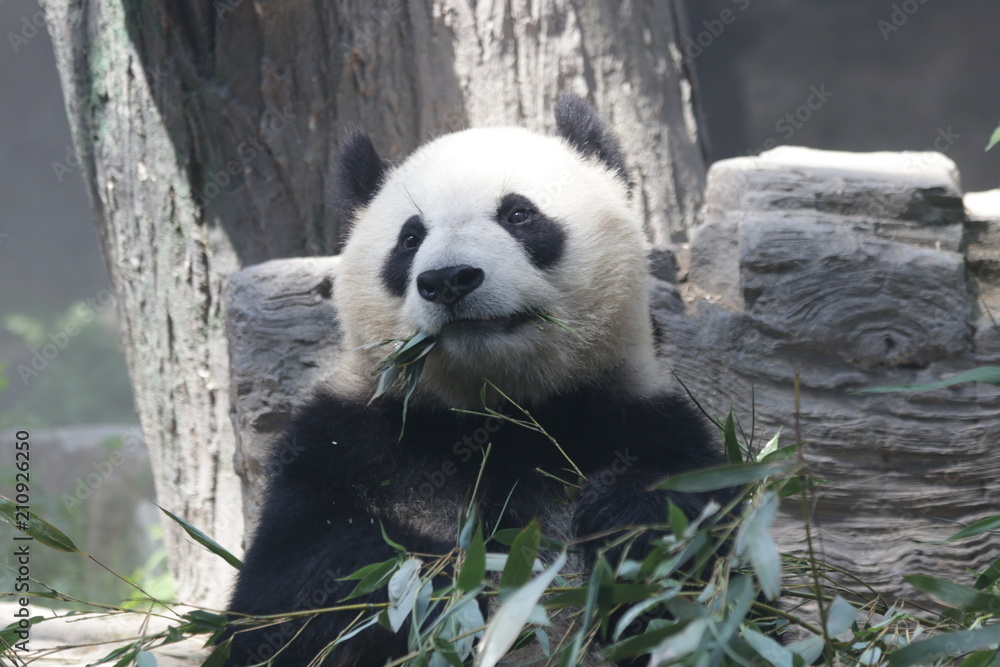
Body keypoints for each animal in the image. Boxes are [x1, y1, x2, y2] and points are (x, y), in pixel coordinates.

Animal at [223, 96, 731, 666]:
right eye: (410, 238)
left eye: (518, 214)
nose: (449, 280)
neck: (494, 408)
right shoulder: (348, 441)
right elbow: (288, 600)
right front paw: (438, 579)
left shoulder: (637, 415)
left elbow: (704, 564)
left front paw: (627, 517)